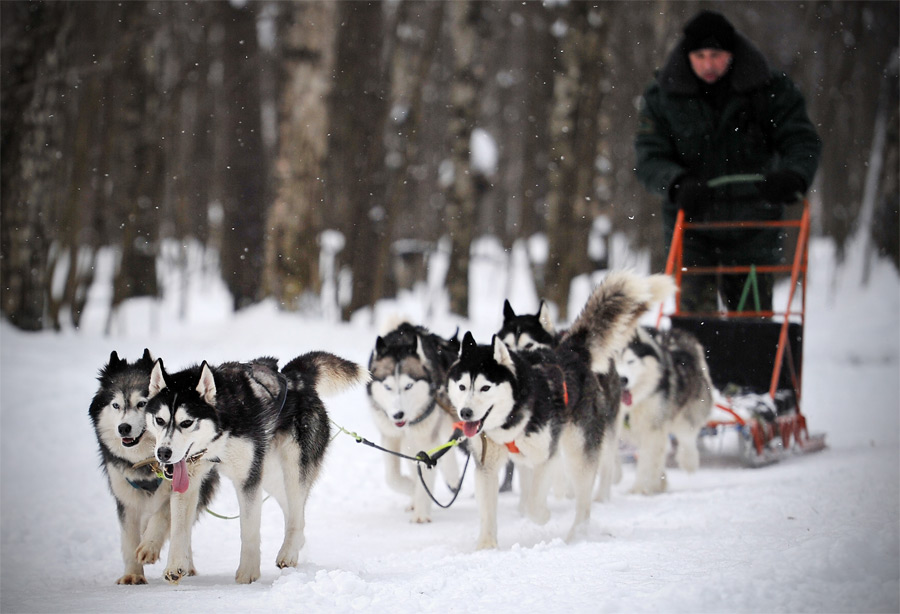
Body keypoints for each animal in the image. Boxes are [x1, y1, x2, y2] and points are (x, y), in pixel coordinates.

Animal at [88, 352, 218, 588]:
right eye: (115, 405)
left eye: (142, 403)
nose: (123, 428)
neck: (145, 463)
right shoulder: (125, 495)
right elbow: (129, 537)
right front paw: (133, 574)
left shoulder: (181, 485)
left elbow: (164, 515)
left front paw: (149, 545)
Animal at [146, 354, 368, 584]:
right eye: (159, 420)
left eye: (187, 422)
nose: (163, 453)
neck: (221, 427)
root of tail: (295, 377)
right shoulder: (189, 477)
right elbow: (179, 528)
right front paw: (175, 566)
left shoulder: (248, 480)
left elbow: (249, 530)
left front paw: (248, 573)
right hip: (269, 473)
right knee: (293, 510)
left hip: (293, 467)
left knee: (296, 512)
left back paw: (288, 552)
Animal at [368, 322, 460, 524]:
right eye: (388, 387)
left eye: (408, 386)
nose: (397, 415)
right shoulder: (390, 437)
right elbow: (392, 477)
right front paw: (413, 491)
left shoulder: (426, 437)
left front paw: (421, 512)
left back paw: (453, 478)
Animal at [446, 272, 672, 552]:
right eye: (462, 386)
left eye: (485, 387)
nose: (465, 413)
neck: (513, 418)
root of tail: (572, 352)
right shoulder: (487, 466)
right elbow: (488, 512)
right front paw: (486, 548)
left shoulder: (547, 457)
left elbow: (535, 502)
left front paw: (543, 516)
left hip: (578, 451)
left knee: (585, 500)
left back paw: (578, 534)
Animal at [616, 328, 712, 496]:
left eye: (631, 361)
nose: (623, 380)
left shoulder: (653, 427)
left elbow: (647, 460)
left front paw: (640, 489)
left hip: (685, 413)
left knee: (687, 436)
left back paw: (688, 461)